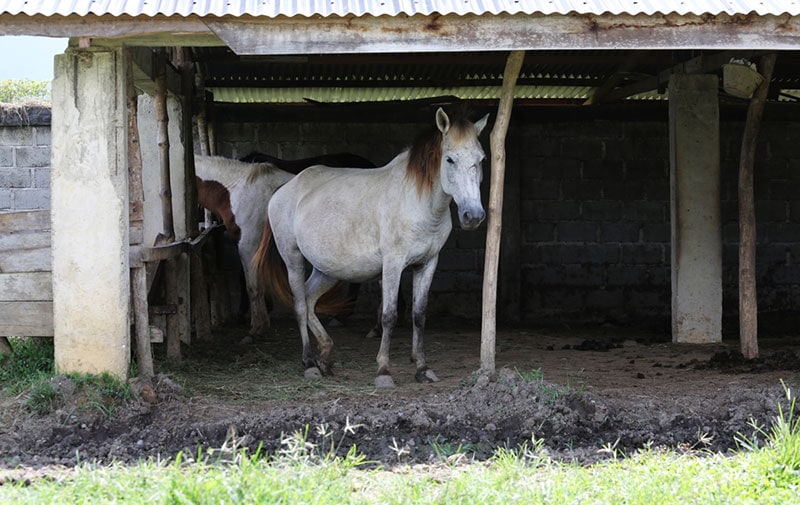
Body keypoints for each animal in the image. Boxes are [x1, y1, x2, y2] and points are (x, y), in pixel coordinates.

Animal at [256, 107, 489, 388]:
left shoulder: (428, 264)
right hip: (293, 260)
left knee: (310, 301)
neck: (417, 202)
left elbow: (419, 315)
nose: (473, 216)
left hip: (327, 269)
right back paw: (310, 363)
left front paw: (423, 368)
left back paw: (325, 356)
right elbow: (389, 315)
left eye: (481, 159)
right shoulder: (393, 264)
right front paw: (383, 372)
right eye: (450, 160)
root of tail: (284, 189)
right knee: (300, 305)